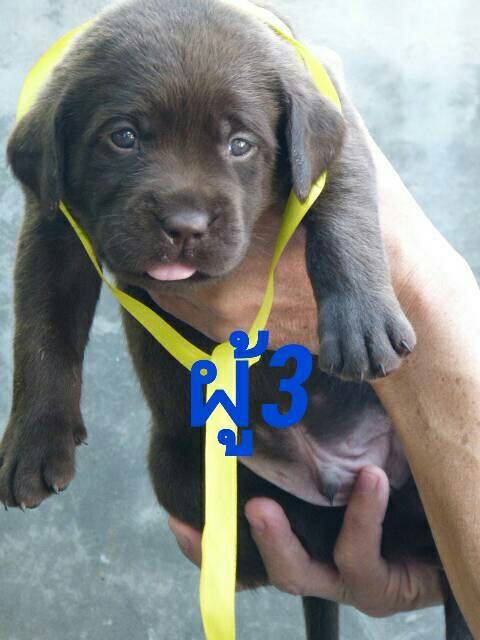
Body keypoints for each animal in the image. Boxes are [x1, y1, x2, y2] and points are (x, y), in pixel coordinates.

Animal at [2, 0, 472, 637]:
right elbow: (41, 330)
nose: (185, 225)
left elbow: (343, 209)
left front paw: (362, 319)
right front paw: (35, 440)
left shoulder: (335, 134)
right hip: (184, 472)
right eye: (123, 137)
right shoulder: (54, 222)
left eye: (241, 144)